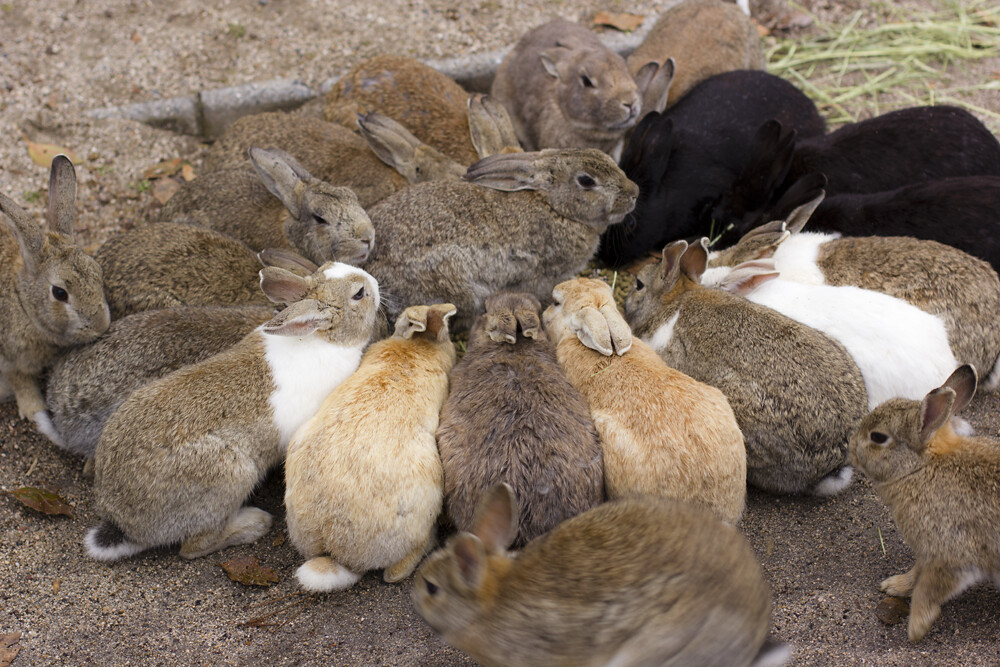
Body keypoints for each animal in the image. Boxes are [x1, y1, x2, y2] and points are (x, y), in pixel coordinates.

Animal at [0, 155, 110, 445]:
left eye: (97, 271)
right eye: (60, 293)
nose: (102, 325)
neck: (21, 301)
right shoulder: (10, 361)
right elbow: (22, 386)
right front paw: (37, 413)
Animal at [84, 262, 380, 561]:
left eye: (329, 266)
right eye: (359, 293)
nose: (376, 283)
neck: (322, 337)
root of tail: (125, 522)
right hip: (233, 476)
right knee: (193, 547)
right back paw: (253, 524)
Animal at [850, 365, 1000, 643]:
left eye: (878, 437)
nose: (851, 448)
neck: (920, 468)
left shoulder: (950, 551)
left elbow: (927, 590)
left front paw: (916, 628)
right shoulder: (927, 550)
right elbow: (916, 574)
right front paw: (894, 586)